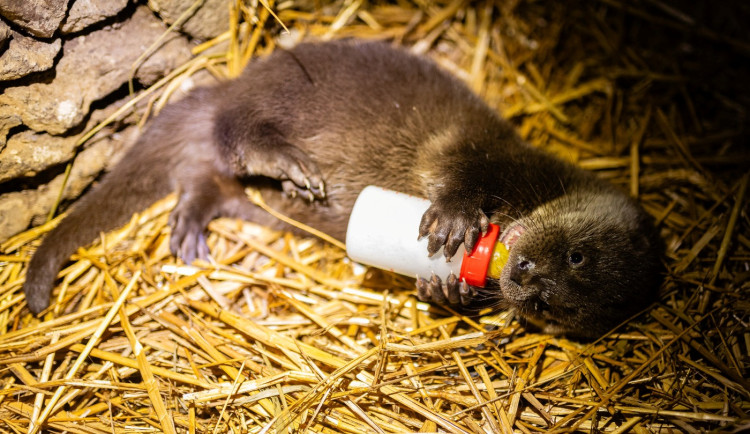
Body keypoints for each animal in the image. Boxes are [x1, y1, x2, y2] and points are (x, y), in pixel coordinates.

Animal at [22, 39, 664, 340]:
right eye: (578, 255)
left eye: (549, 305)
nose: (526, 272)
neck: (535, 191)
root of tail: (235, 78)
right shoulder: (492, 153)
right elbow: (465, 171)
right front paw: (456, 219)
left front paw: (447, 290)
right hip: (286, 93)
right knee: (233, 130)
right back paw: (285, 160)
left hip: (248, 198)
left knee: (210, 178)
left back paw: (191, 227)